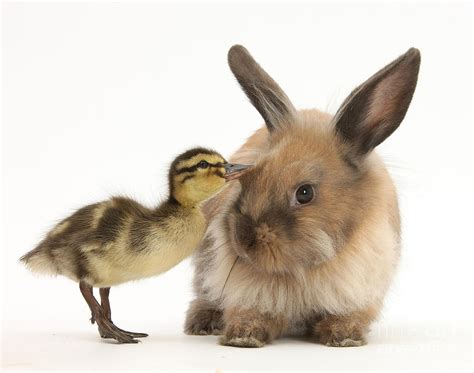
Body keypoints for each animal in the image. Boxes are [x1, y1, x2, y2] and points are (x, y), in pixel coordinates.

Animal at [183, 45, 420, 348]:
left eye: (304, 193)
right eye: (246, 180)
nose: (244, 241)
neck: (304, 269)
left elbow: (348, 316)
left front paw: (344, 336)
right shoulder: (246, 290)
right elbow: (250, 311)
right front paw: (243, 336)